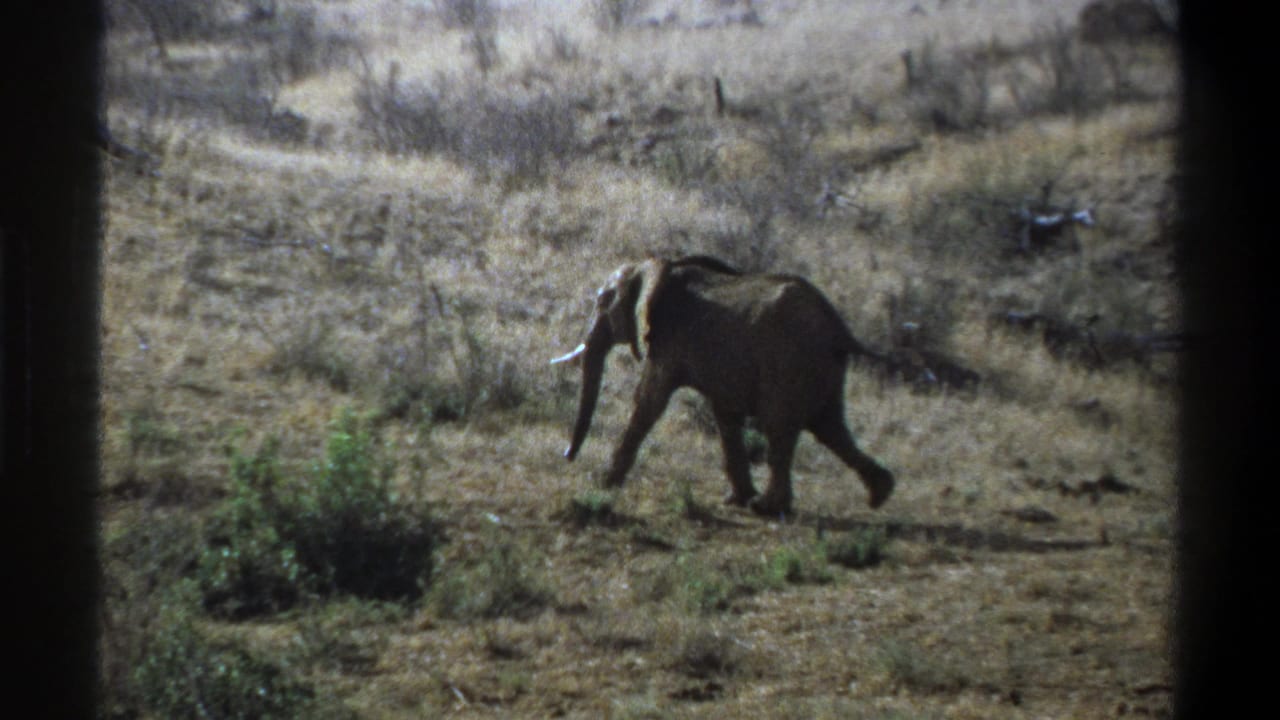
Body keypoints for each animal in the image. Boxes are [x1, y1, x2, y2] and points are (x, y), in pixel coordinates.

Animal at [550, 255, 894, 517]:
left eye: (603, 301)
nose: (567, 456)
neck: (655, 266)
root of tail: (839, 328)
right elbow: (725, 416)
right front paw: (735, 499)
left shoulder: (668, 339)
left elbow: (649, 399)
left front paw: (602, 482)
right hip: (822, 366)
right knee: (830, 427)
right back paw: (880, 494)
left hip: (789, 360)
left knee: (780, 426)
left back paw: (766, 508)